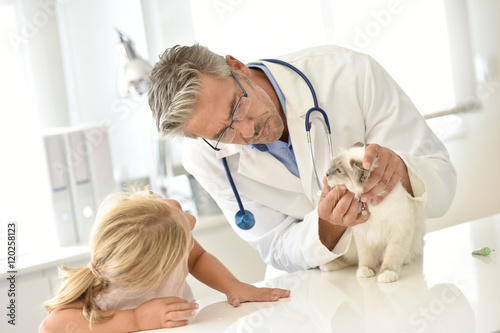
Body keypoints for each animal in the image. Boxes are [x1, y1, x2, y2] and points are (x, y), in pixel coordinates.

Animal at [318, 144, 424, 282]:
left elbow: (391, 256)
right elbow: (366, 257)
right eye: (331, 166)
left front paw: (386, 274)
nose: (326, 174)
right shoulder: (363, 233)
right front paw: (366, 271)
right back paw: (328, 265)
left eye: (339, 171)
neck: (370, 204)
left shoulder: (399, 230)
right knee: (349, 259)